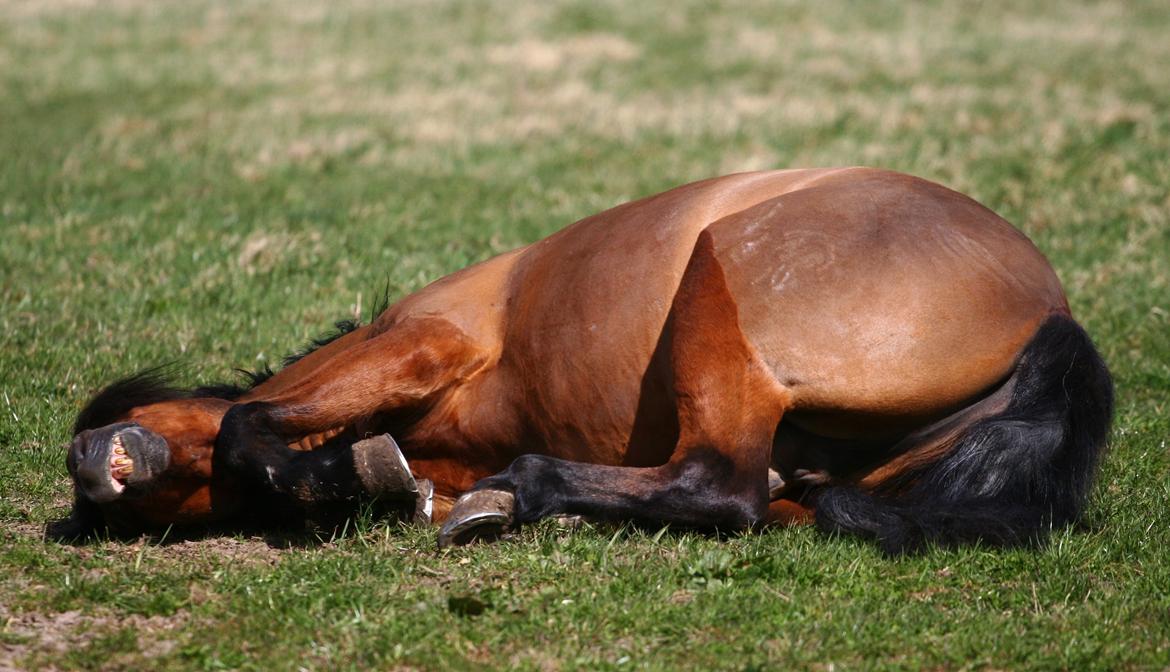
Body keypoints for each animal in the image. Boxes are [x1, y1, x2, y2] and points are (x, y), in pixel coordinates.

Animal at [47, 169, 1113, 557]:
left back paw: (526, 491)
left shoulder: (419, 342)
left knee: (719, 486)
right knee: (751, 499)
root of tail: (1048, 312)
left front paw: (332, 472)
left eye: (118, 426)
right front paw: (359, 485)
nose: (91, 469)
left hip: (719, 286)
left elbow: (245, 425)